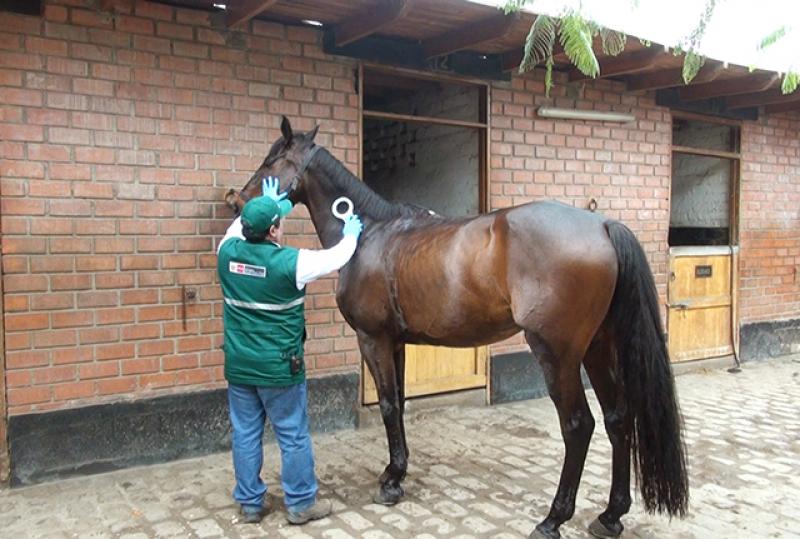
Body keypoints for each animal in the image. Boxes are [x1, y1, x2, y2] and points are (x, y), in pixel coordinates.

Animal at [226, 116, 688, 539]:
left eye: (272, 160)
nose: (238, 200)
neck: (369, 234)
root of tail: (602, 225)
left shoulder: (372, 340)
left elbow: (388, 406)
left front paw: (390, 484)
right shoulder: (396, 343)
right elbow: (400, 405)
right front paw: (396, 473)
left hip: (557, 355)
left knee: (578, 426)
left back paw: (552, 519)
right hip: (598, 347)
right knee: (617, 418)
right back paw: (610, 516)